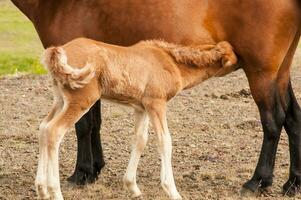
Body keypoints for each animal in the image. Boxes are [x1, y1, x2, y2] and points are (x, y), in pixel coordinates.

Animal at [11, 0, 300, 197]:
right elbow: (105, 127)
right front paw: (96, 170)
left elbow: (88, 126)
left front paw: (82, 173)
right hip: (280, 70)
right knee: (293, 117)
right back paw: (292, 183)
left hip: (262, 71)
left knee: (273, 120)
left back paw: (257, 181)